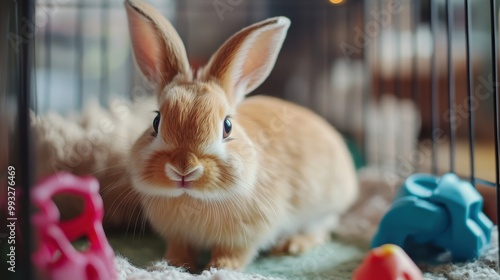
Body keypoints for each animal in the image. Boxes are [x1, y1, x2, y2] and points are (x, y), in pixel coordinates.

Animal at [125, 0, 360, 272]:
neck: (195, 198)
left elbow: (235, 252)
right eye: (156, 122)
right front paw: (173, 264)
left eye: (227, 126)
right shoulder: (178, 235)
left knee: (322, 229)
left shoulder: (246, 236)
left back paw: (292, 244)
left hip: (320, 209)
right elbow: (180, 249)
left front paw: (220, 268)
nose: (184, 169)